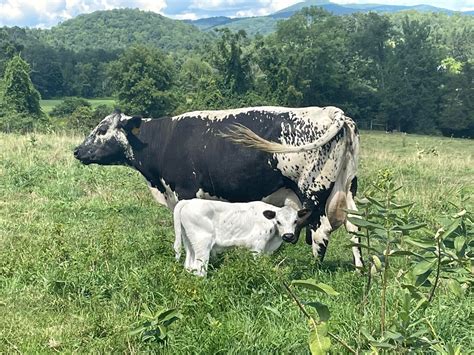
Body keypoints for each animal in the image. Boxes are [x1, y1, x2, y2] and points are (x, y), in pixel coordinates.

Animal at [74, 105, 362, 268]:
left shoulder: (185, 191)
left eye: (102, 130)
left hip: (313, 192)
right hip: (347, 188)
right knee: (355, 226)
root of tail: (330, 111)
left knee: (321, 232)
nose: (77, 151)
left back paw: (314, 272)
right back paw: (360, 269)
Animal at [173, 200, 312, 278]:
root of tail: (188, 201)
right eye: (278, 221)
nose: (288, 236)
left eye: (295, 221)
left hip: (189, 242)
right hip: (203, 242)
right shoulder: (257, 247)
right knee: (199, 269)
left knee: (189, 266)